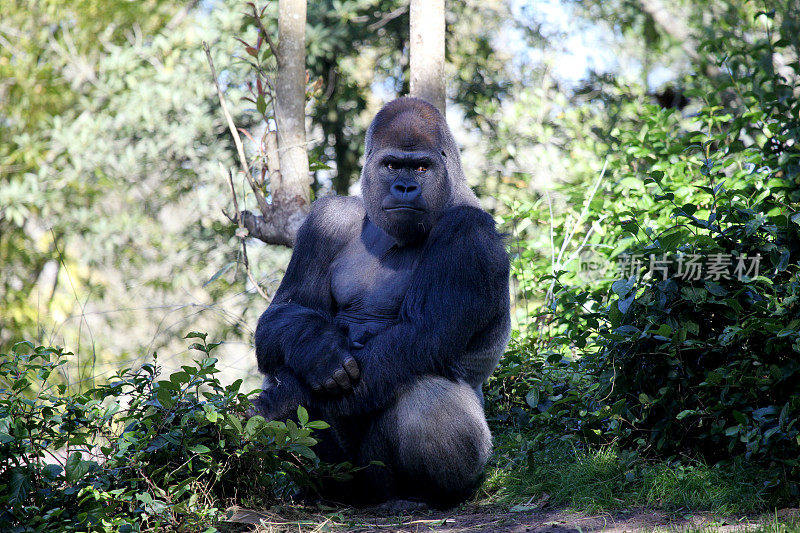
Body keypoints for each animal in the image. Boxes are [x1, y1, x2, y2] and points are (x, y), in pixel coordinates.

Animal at [253, 97, 510, 510]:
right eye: (392, 165)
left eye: (421, 167)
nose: (405, 187)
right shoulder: (326, 219)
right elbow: (283, 313)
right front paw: (316, 349)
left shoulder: (469, 235)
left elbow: (423, 335)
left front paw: (283, 400)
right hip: (349, 478)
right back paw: (327, 491)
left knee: (426, 394)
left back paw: (425, 495)